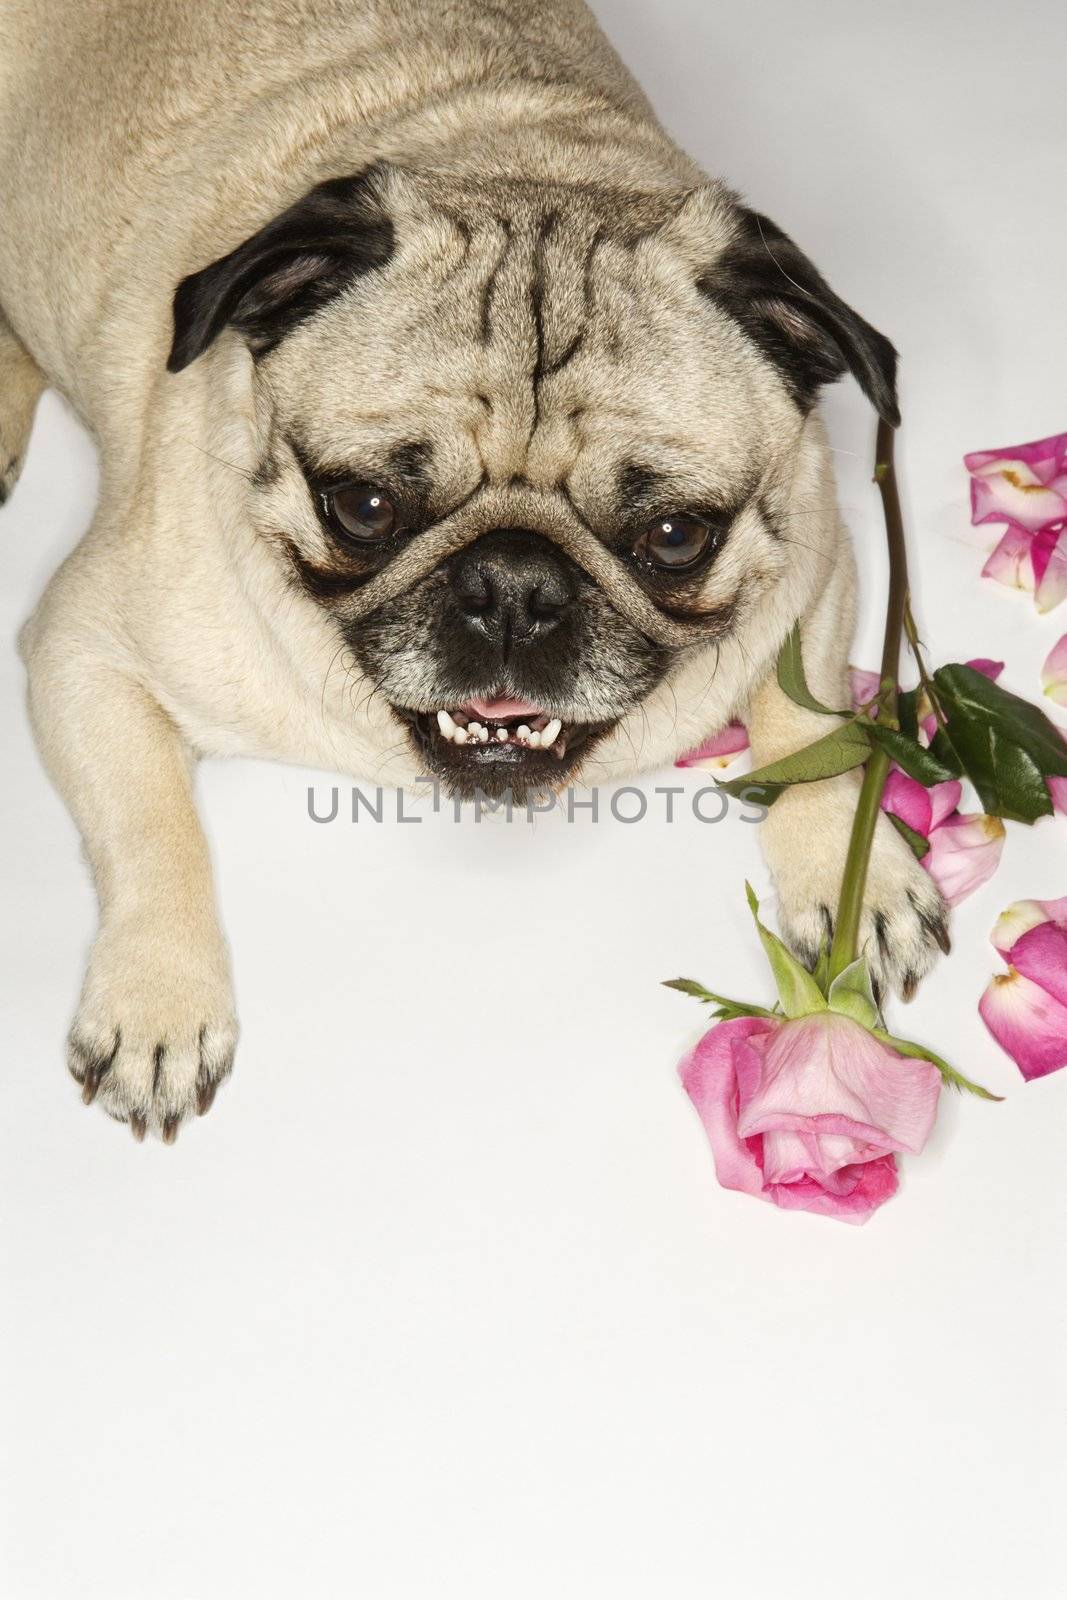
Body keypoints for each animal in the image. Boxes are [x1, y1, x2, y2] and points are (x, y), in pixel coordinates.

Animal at [4, 0, 947, 1139]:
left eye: (676, 536)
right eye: (363, 506)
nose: (512, 585)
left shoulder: (816, 565)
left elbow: (811, 730)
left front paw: (855, 872)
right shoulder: (82, 647)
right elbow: (152, 830)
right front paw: (157, 999)